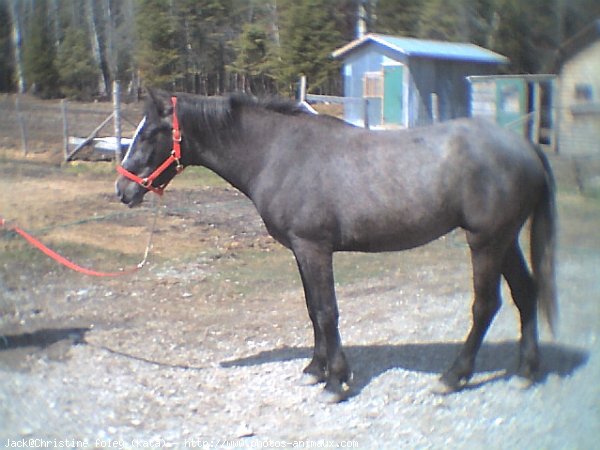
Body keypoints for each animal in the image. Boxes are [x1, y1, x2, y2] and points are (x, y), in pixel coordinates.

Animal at [116, 89, 556, 402]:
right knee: (525, 293)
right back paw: (526, 372)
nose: (122, 190)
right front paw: (316, 369)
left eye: (150, 133)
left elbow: (327, 312)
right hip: (504, 240)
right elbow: (313, 310)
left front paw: (336, 382)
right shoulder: (301, 250)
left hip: (485, 241)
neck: (279, 153)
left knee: (486, 305)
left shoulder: (314, 248)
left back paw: (453, 377)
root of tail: (525, 146)